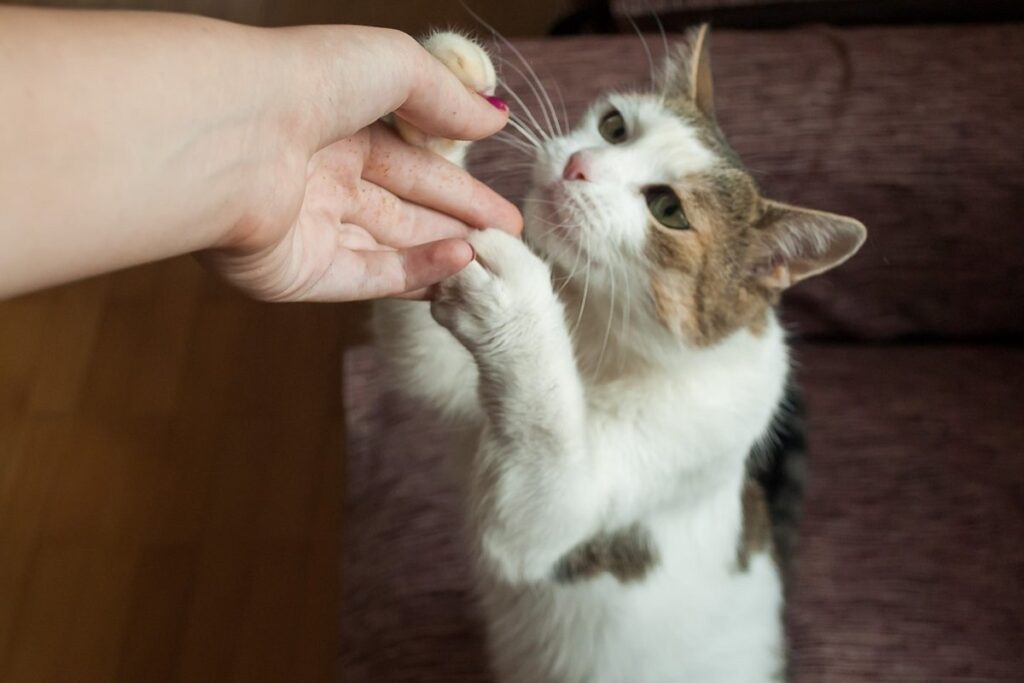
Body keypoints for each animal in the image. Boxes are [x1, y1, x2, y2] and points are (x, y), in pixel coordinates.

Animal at [374, 26, 864, 683]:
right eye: (613, 126)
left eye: (669, 210)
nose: (579, 165)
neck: (597, 333)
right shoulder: (449, 379)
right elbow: (421, 346)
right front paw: (441, 114)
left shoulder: (574, 504)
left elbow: (541, 467)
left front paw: (520, 296)